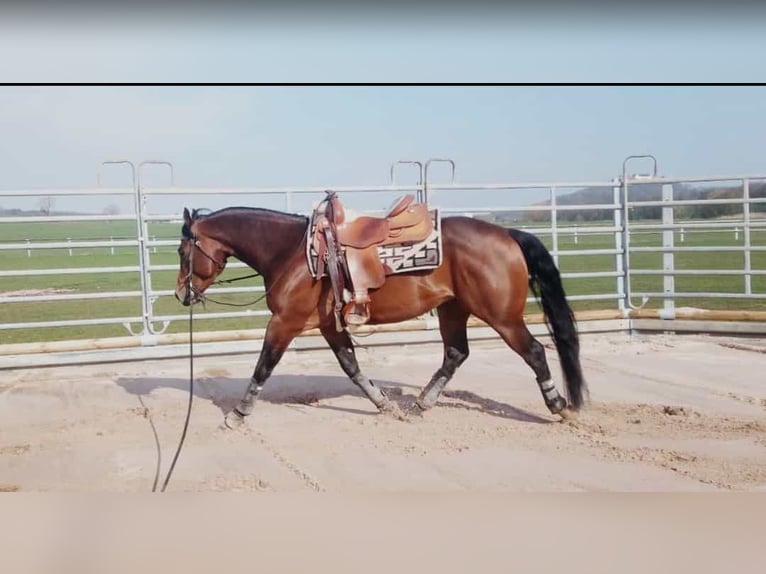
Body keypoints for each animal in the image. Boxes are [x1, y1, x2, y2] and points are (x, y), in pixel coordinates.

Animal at [174, 201, 588, 428]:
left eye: (181, 251)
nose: (180, 293)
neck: (293, 252)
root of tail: (508, 234)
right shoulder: (329, 326)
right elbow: (351, 366)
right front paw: (384, 404)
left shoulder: (284, 323)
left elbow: (263, 366)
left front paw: (238, 414)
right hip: (453, 309)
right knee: (456, 353)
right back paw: (420, 404)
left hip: (501, 316)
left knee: (534, 352)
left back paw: (560, 407)